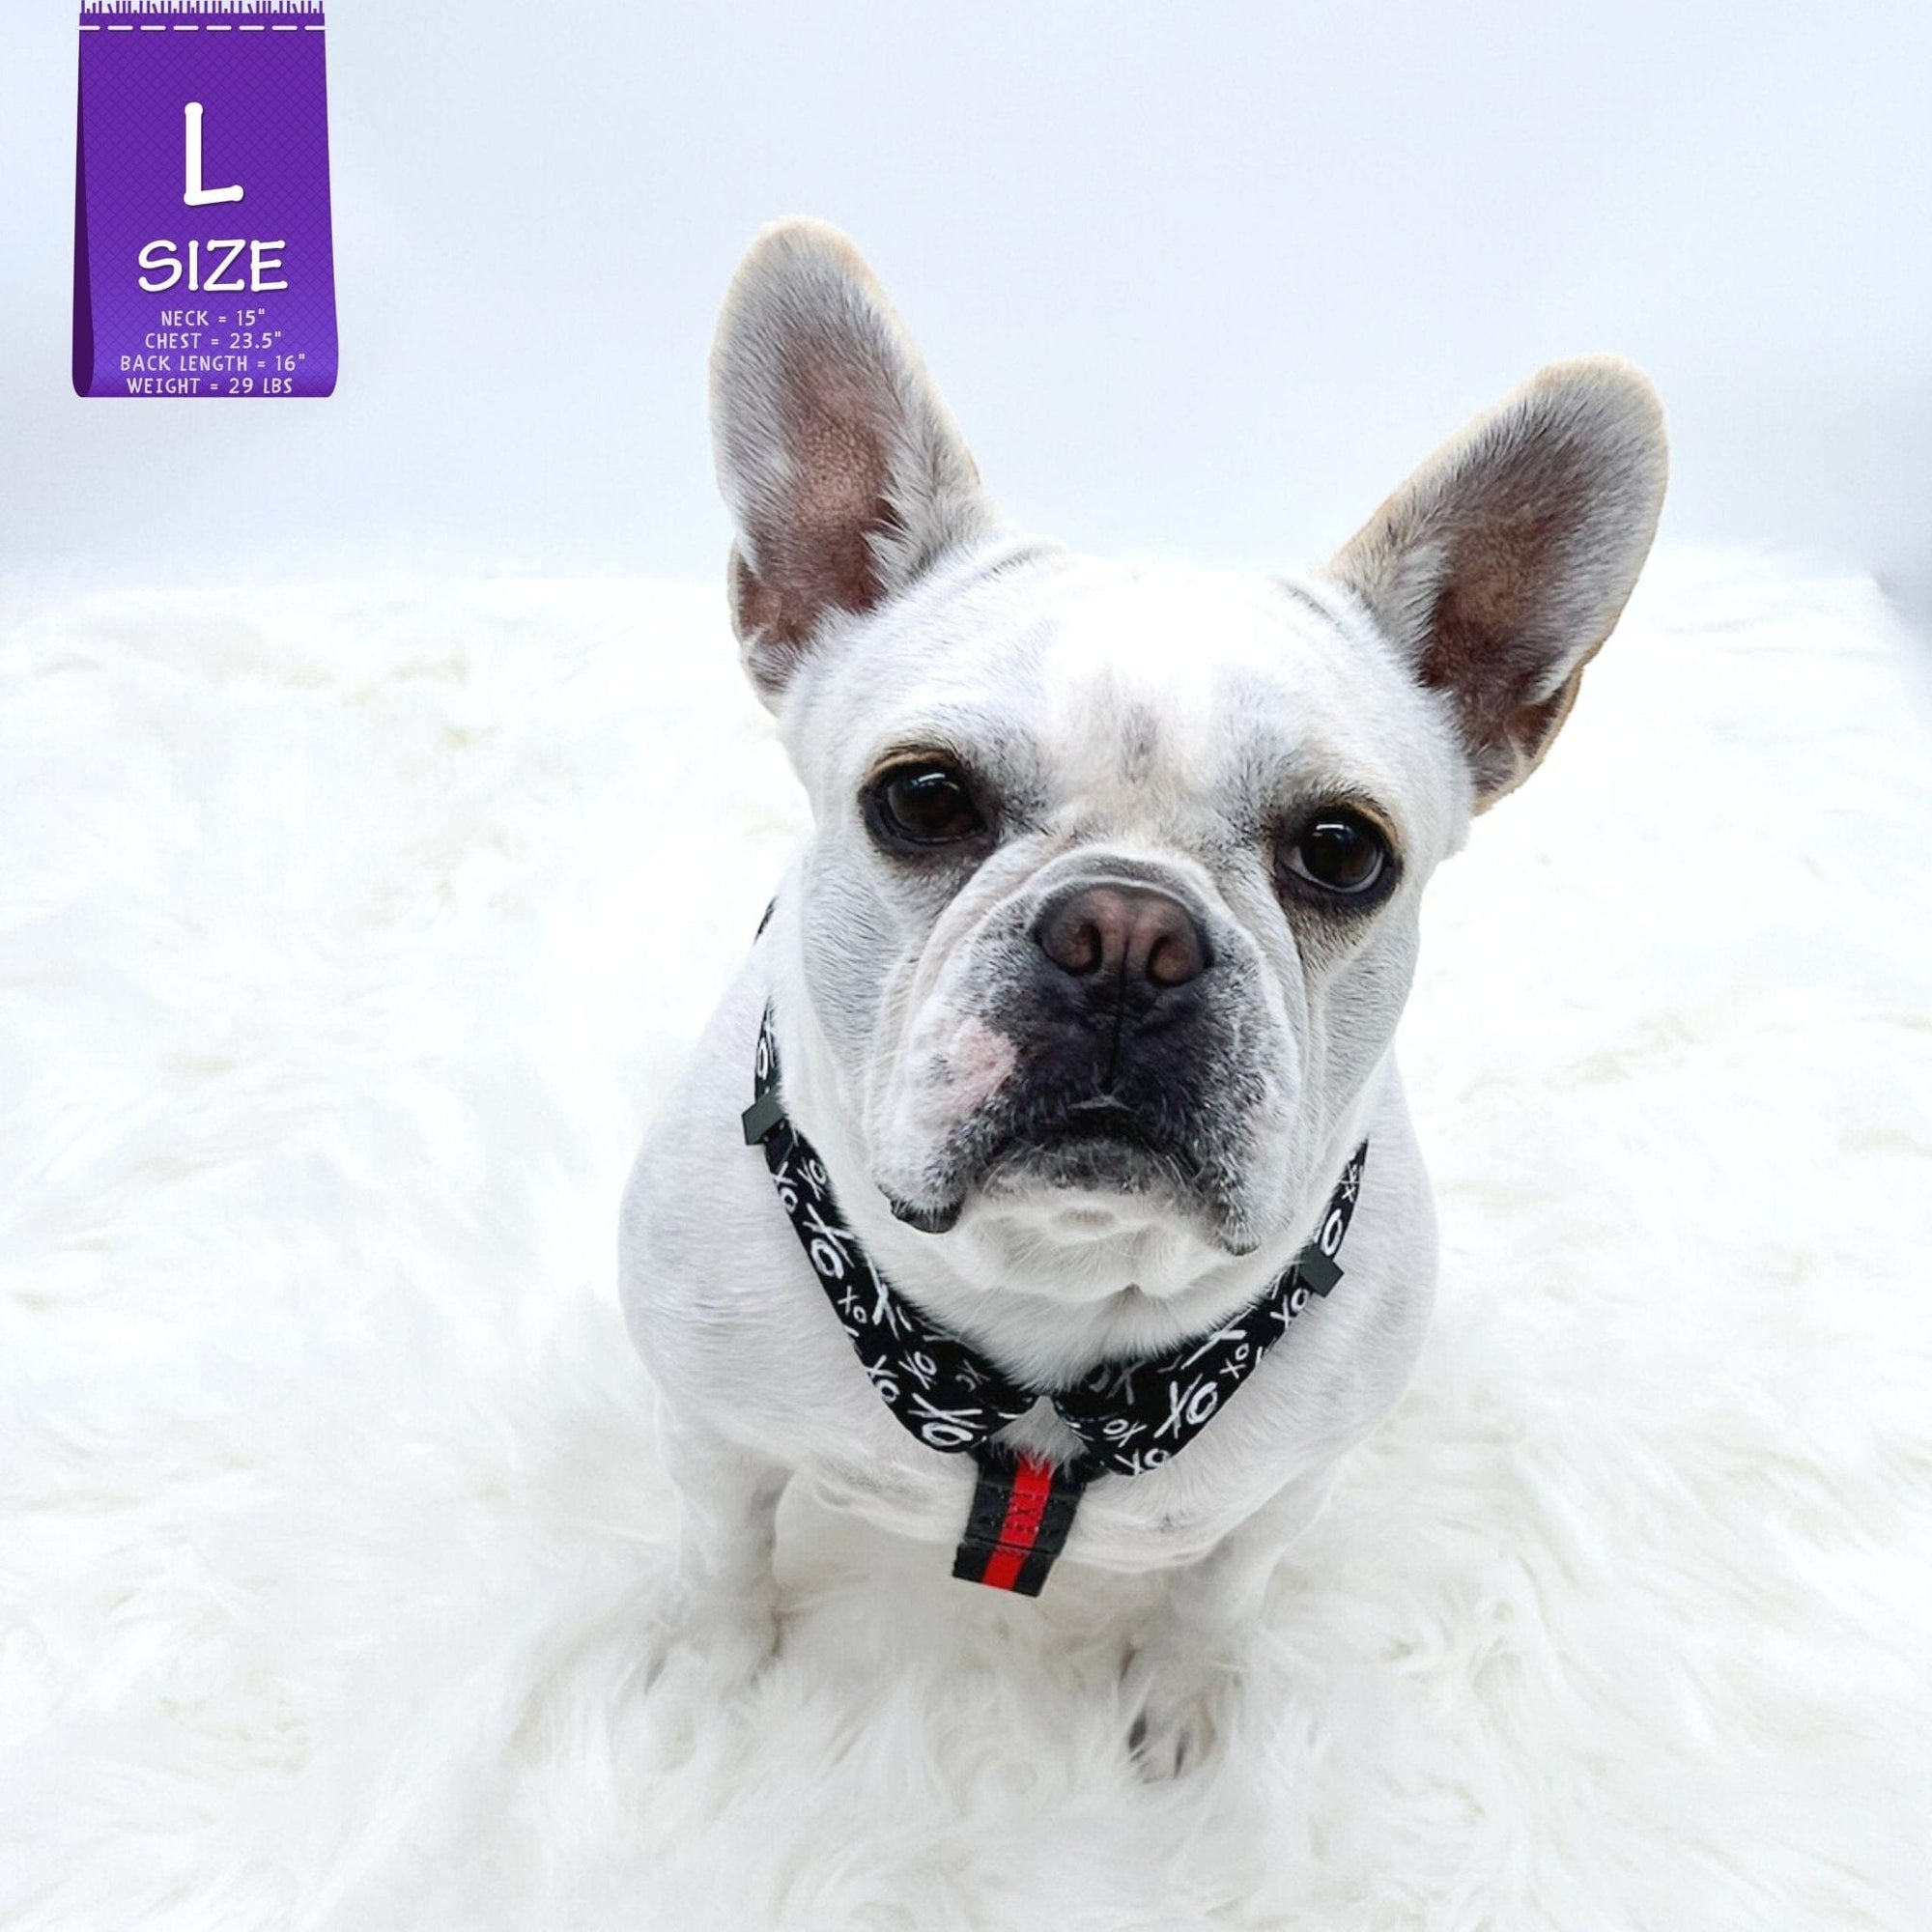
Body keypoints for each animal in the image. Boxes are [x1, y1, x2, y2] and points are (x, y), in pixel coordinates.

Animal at [620, 217, 1666, 1773]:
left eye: (1342, 850)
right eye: (919, 799)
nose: (1126, 934)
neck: (1044, 1315)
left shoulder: (1281, 1497)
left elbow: (1217, 1596)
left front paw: (1177, 1708)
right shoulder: (710, 1437)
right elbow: (720, 1556)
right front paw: (711, 1673)